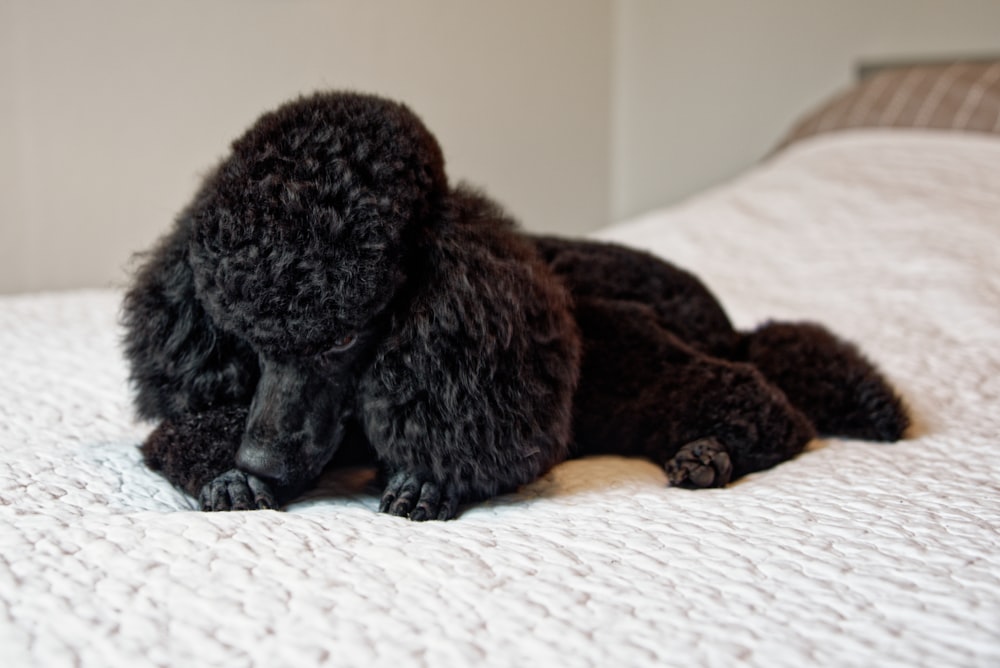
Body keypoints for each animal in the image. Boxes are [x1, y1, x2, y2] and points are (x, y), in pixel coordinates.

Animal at [121, 91, 912, 520]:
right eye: (244, 337)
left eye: (345, 340)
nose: (259, 459)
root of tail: (726, 321)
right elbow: (179, 435)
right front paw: (228, 472)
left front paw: (427, 479)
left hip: (626, 343)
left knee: (767, 404)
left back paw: (711, 452)